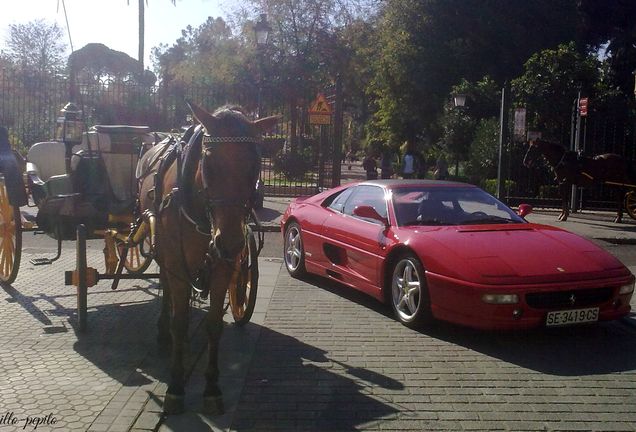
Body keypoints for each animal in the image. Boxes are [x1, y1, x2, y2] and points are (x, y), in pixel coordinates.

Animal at [137, 102, 278, 416]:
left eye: (255, 166)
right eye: (209, 164)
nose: (231, 242)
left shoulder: (224, 267)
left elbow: (214, 323)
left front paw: (212, 388)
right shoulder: (177, 262)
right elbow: (178, 319)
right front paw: (176, 386)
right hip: (165, 251)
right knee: (167, 290)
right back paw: (165, 334)